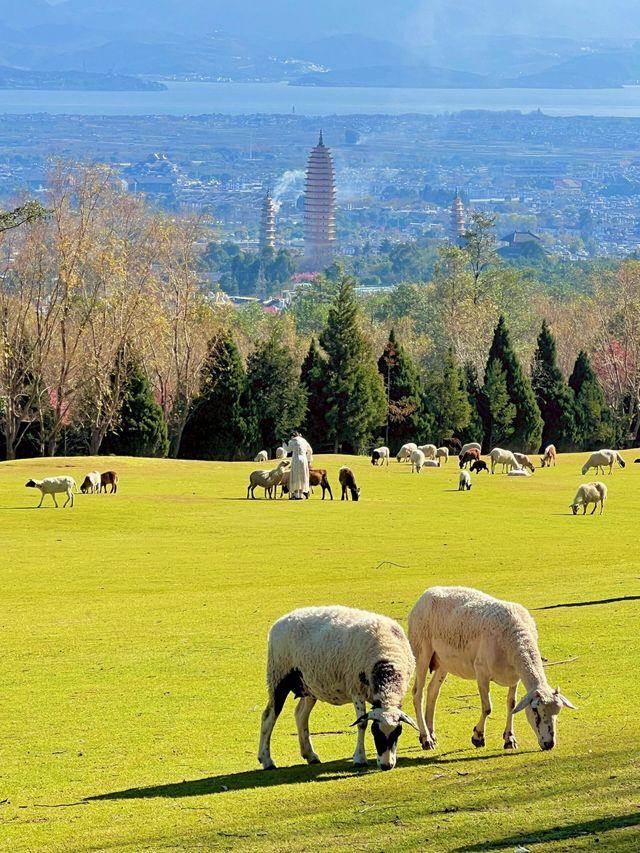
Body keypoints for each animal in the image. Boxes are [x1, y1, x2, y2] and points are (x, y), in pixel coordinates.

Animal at [258, 604, 418, 772]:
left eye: (398, 732)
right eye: (375, 732)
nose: (386, 766)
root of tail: (280, 621)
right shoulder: (356, 689)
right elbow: (362, 723)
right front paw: (359, 758)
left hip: (308, 684)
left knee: (301, 715)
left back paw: (310, 755)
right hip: (278, 675)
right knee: (269, 716)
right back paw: (267, 760)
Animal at [410, 584, 580, 752]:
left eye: (558, 711)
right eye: (535, 711)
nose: (549, 744)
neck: (516, 639)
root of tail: (427, 592)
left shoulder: (514, 678)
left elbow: (511, 705)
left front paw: (510, 739)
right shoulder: (481, 672)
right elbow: (487, 708)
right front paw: (478, 737)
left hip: (443, 662)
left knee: (433, 691)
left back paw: (431, 734)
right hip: (421, 651)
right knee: (418, 694)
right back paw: (426, 739)